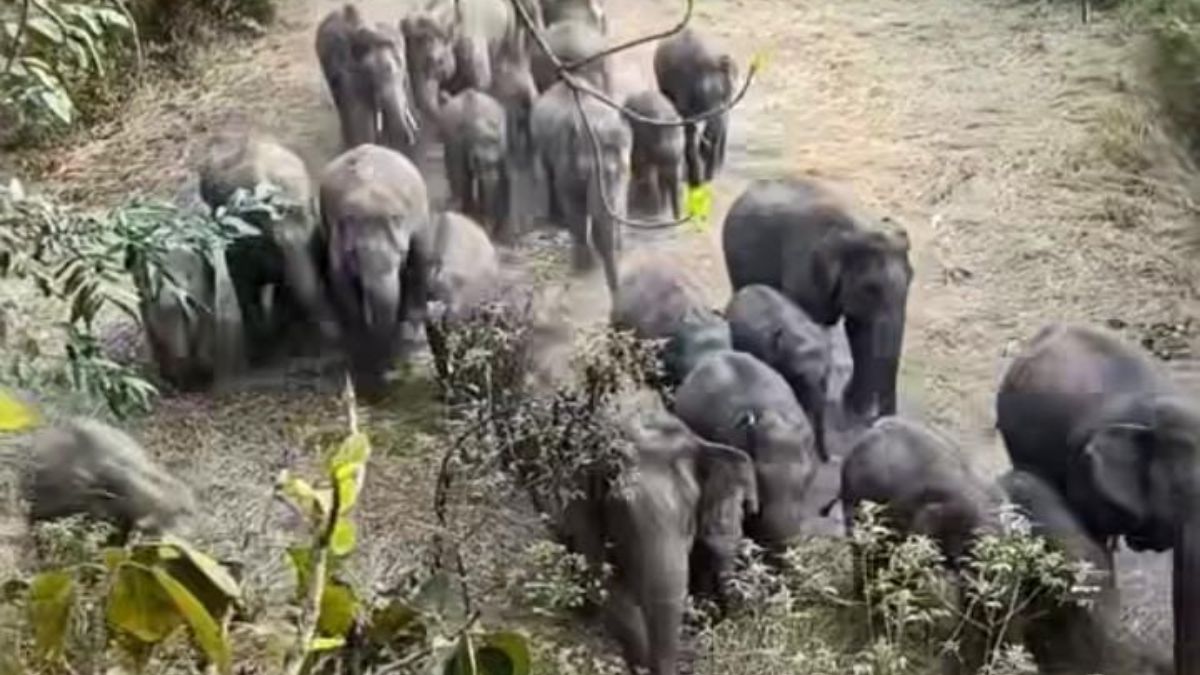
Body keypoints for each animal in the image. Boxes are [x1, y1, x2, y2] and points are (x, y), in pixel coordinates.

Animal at [318, 144, 433, 401]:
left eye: (400, 254)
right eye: (353, 255)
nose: (382, 384)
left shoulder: (415, 232)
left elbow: (415, 267)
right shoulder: (336, 245)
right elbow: (342, 286)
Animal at [531, 80, 631, 293]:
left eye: (621, 172)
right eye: (585, 173)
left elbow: (619, 204)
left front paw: (618, 248)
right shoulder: (565, 156)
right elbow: (572, 202)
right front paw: (586, 266)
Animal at [722, 177, 913, 426]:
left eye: (912, 278)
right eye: (870, 288)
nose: (879, 416)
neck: (857, 227)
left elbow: (858, 329)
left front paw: (851, 409)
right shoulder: (804, 270)